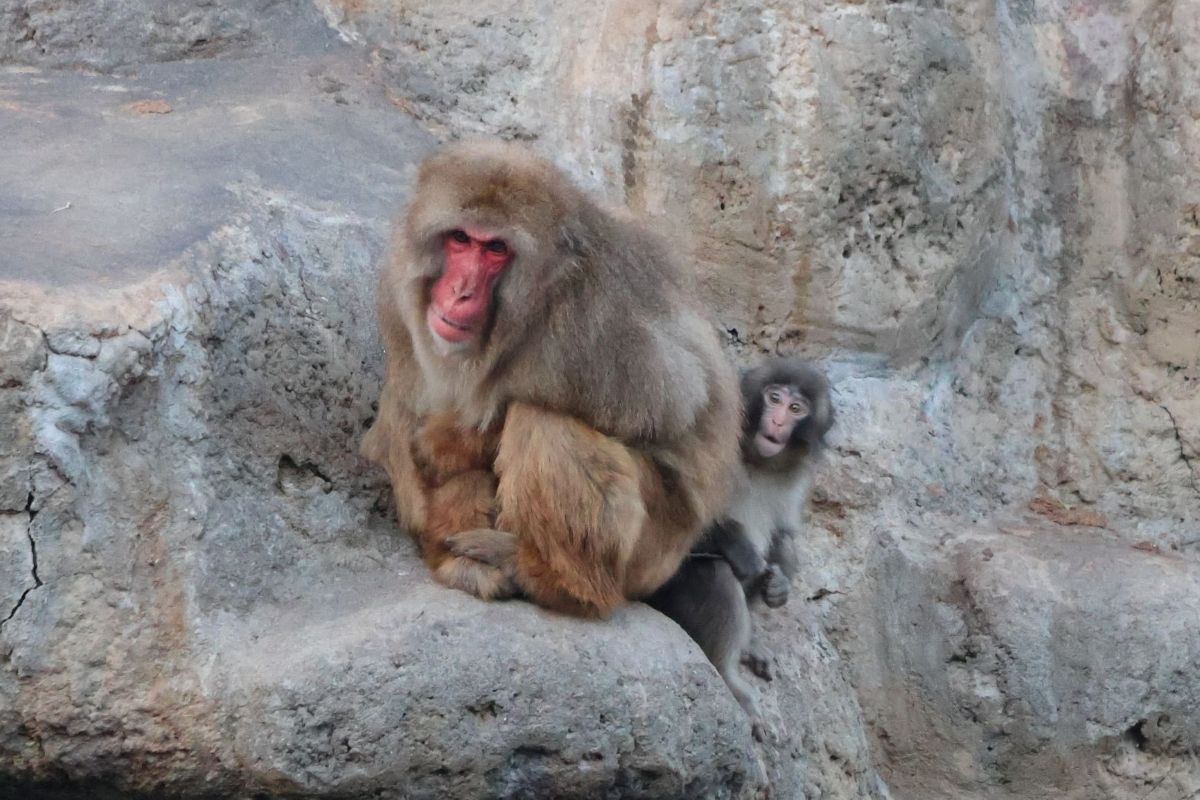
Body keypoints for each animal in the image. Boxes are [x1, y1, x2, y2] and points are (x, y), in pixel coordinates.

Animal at [360, 140, 741, 618]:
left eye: (496, 249)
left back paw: (556, 580)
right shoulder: (398, 291)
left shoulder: (595, 320)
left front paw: (451, 441)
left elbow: (671, 403)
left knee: (542, 420)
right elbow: (404, 420)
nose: (461, 292)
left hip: (653, 552)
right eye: (461, 239)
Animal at [647, 358, 834, 724]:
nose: (777, 421)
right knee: (714, 573)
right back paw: (728, 676)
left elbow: (784, 535)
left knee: (783, 546)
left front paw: (780, 588)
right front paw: (740, 550)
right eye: (774, 398)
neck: (756, 459)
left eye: (796, 408)